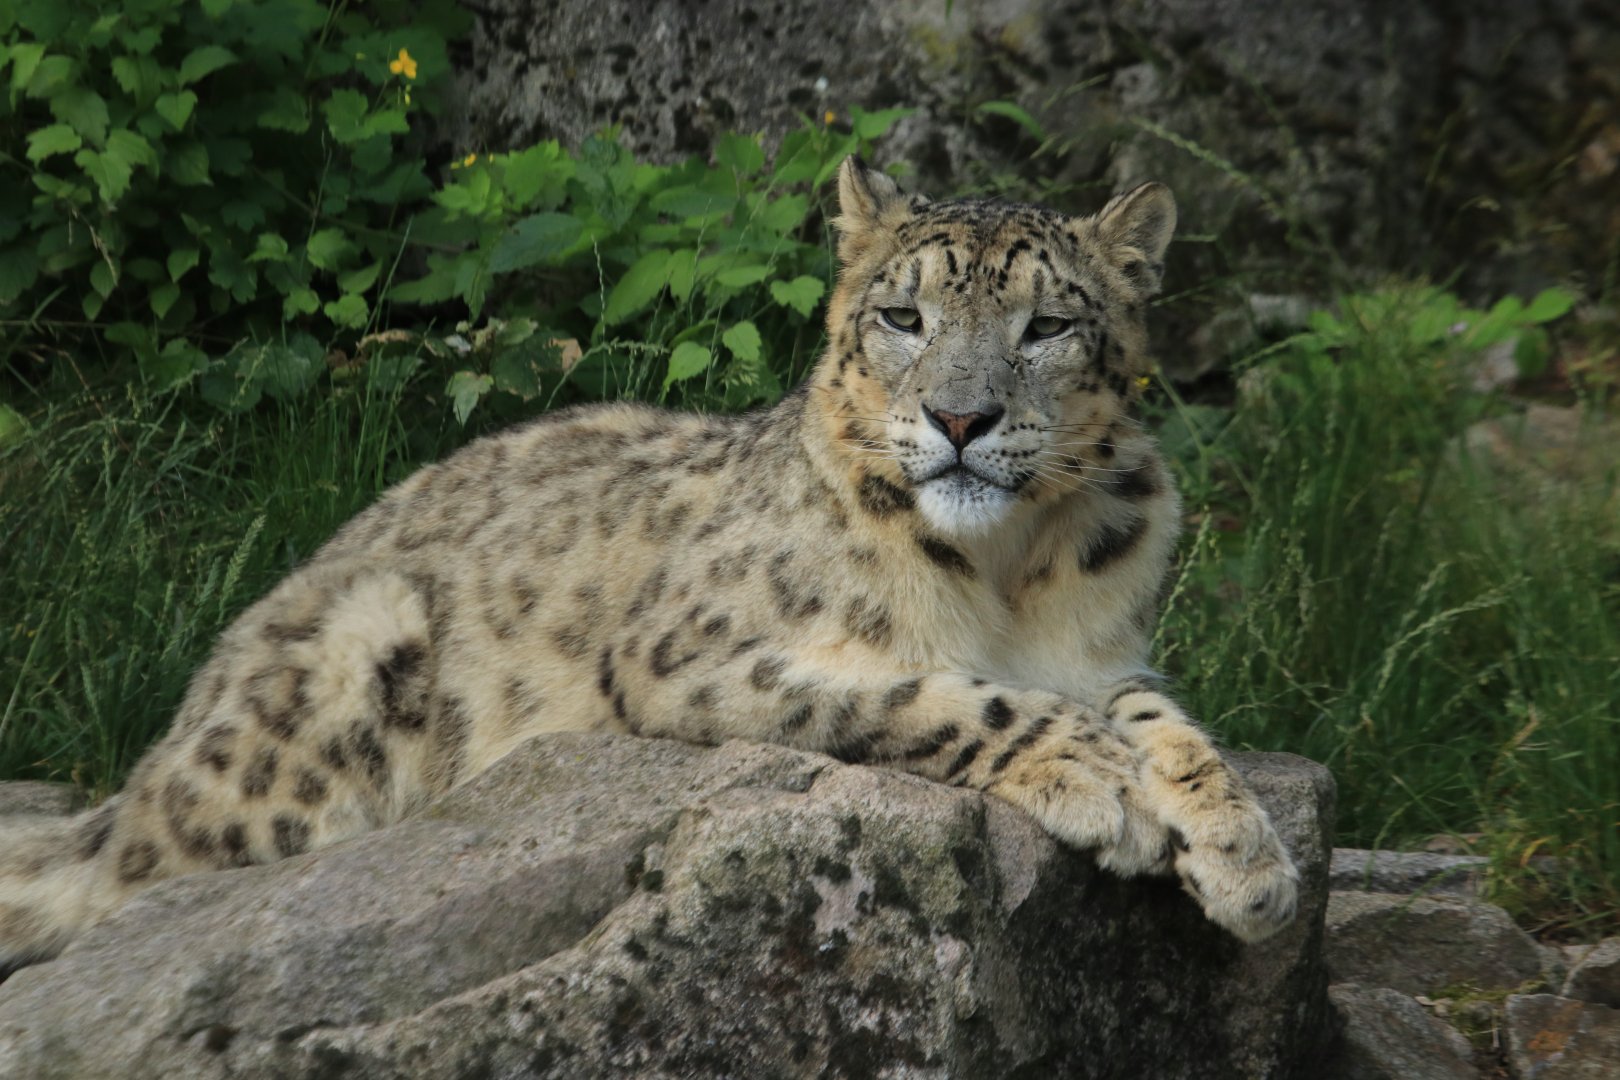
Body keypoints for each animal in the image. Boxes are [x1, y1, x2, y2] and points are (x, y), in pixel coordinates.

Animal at [0, 158, 1299, 976]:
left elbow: (1170, 721)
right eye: (903, 317)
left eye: (1048, 326)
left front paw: (1245, 857)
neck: (1008, 571)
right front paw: (1095, 777)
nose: (962, 418)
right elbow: (929, 697)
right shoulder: (697, 656)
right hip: (333, 684)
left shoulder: (1101, 649)